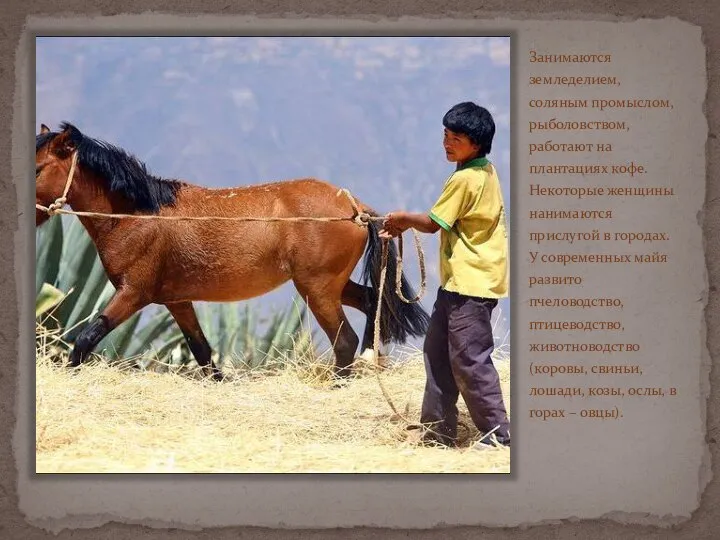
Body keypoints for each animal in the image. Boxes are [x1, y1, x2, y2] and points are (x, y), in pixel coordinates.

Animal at [35, 156, 422, 426]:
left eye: (38, 166)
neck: (138, 215)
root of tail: (355, 208)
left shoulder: (132, 294)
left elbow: (87, 338)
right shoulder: (177, 300)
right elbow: (203, 351)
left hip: (318, 289)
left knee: (344, 340)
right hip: (331, 286)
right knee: (371, 303)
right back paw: (372, 362)